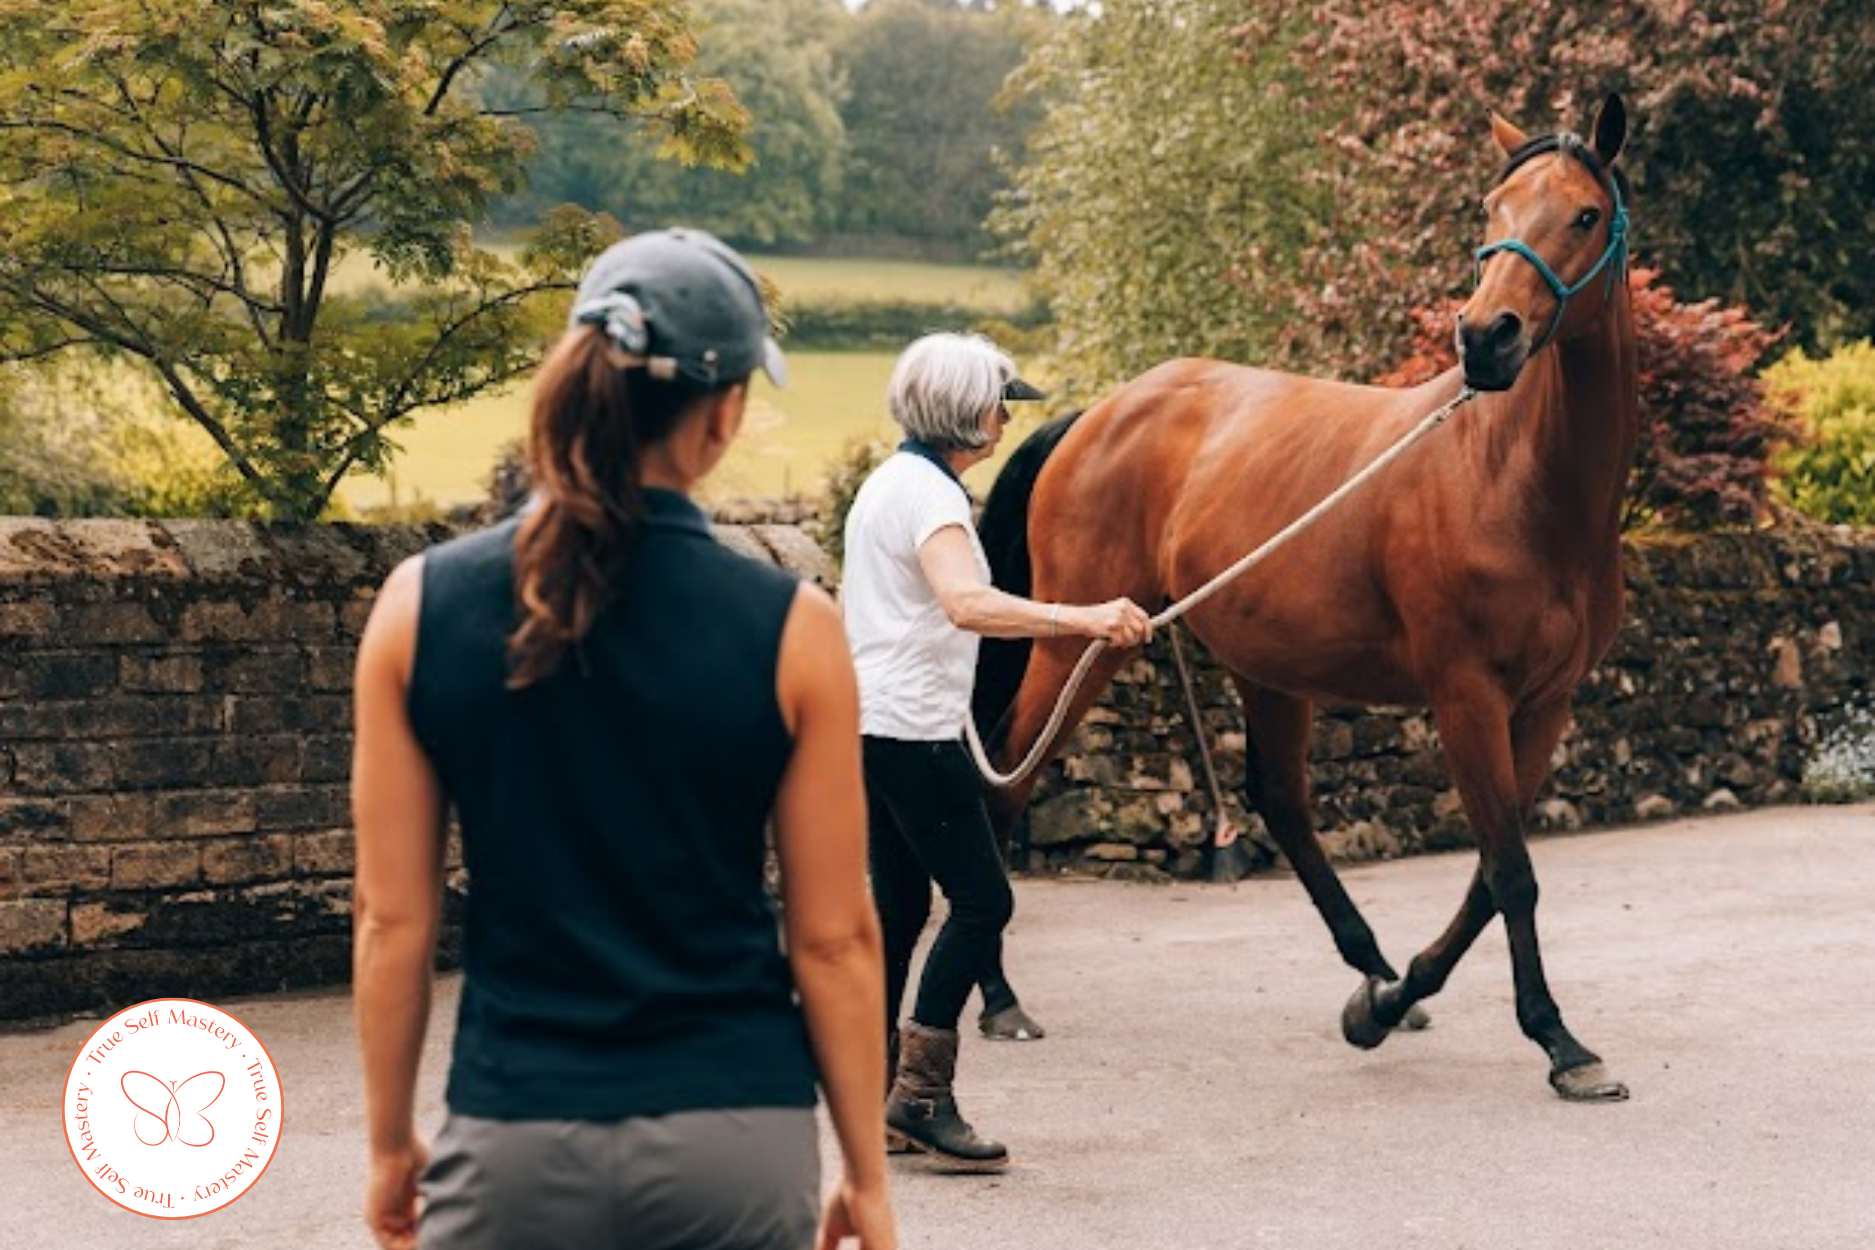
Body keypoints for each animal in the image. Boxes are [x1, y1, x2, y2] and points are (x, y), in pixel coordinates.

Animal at [972, 94, 1638, 1102]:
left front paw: (1388, 1003)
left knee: (1280, 801)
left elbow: (1491, 875)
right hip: (1077, 645)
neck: (1514, 481)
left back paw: (1371, 971)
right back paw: (997, 996)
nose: (1486, 338)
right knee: (1010, 779)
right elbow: (1510, 872)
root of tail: (1098, 413)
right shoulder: (1465, 697)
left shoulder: (1544, 704)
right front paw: (1560, 1043)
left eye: (1585, 215)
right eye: (1492, 206)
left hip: (1269, 667)